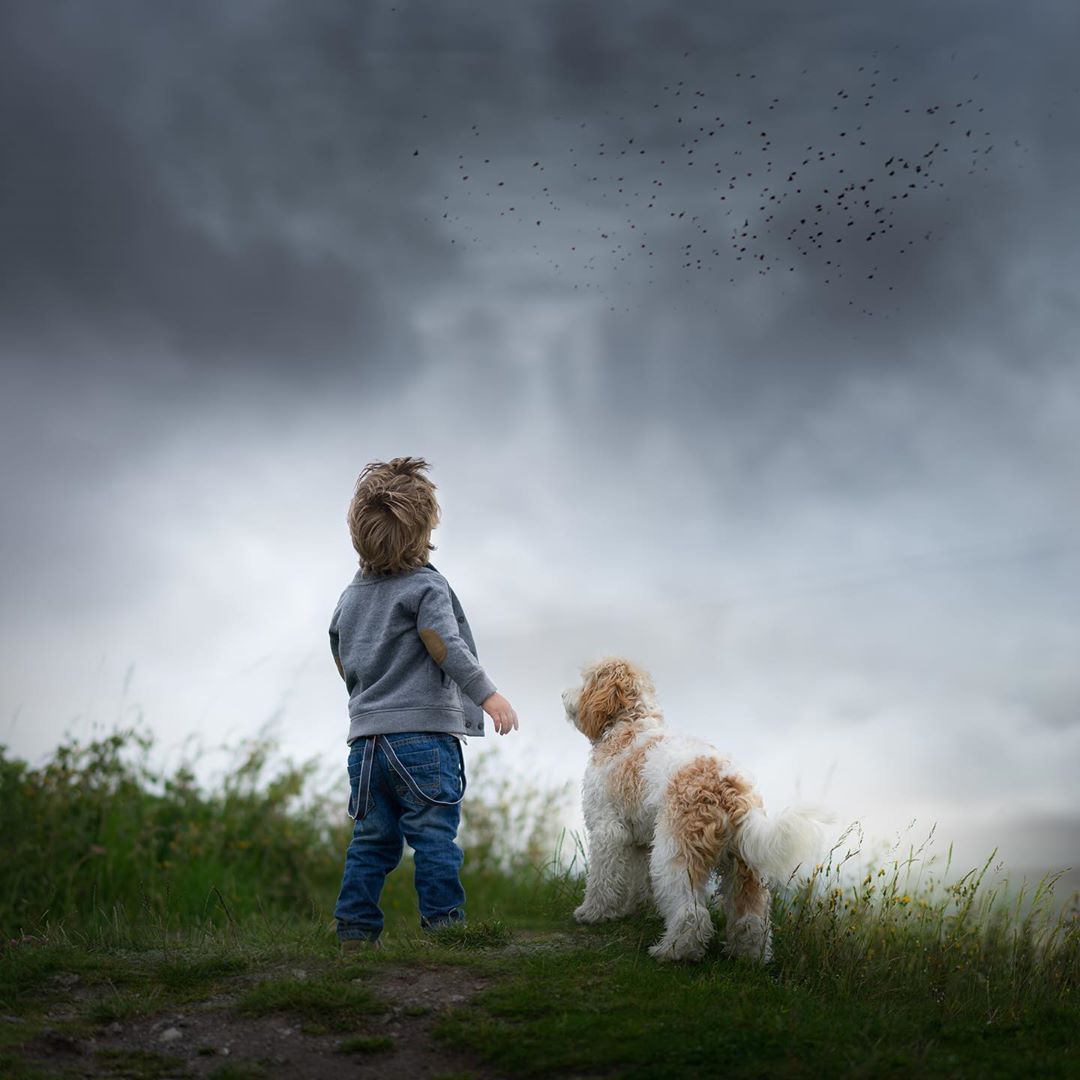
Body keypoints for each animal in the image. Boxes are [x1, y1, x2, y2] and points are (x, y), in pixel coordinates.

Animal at [565, 656, 825, 963]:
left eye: (585, 679)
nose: (563, 695)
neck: (631, 722)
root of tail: (728, 788)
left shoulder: (608, 831)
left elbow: (601, 878)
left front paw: (592, 913)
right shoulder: (640, 841)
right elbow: (637, 881)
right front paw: (634, 909)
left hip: (674, 855)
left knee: (693, 913)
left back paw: (673, 951)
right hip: (745, 866)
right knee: (752, 917)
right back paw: (748, 957)